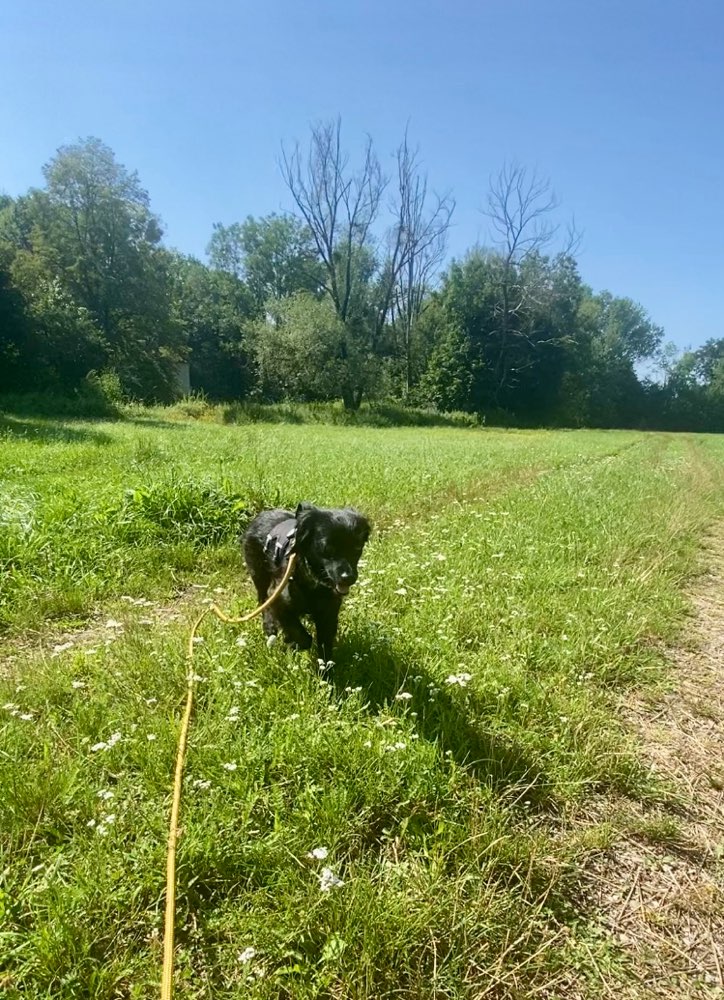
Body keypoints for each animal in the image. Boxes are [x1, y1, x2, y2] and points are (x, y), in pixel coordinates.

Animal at [243, 504, 370, 660]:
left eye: (357, 548)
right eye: (327, 548)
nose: (348, 577)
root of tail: (261, 514)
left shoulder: (329, 612)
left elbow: (325, 645)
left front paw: (325, 666)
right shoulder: (278, 596)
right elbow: (301, 635)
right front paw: (293, 642)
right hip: (259, 576)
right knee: (263, 600)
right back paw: (269, 627)